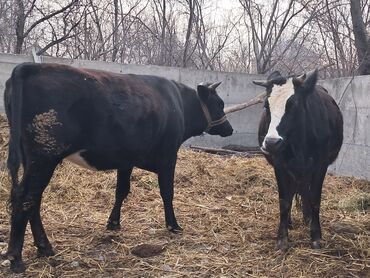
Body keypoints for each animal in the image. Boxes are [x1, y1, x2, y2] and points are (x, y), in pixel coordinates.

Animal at [2, 62, 233, 272]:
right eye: (219, 103)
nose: (230, 129)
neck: (179, 105)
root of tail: (27, 67)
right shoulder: (168, 156)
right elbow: (167, 192)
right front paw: (173, 225)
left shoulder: (126, 160)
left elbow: (121, 191)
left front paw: (113, 223)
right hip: (44, 157)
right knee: (26, 198)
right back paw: (16, 258)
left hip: (34, 159)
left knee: (32, 199)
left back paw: (44, 247)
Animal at [256, 69, 342, 250]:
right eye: (266, 106)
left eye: (293, 105)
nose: (272, 142)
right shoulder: (280, 164)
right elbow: (284, 200)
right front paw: (282, 239)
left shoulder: (320, 164)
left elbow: (315, 197)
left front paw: (316, 236)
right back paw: (291, 221)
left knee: (303, 189)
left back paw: (307, 217)